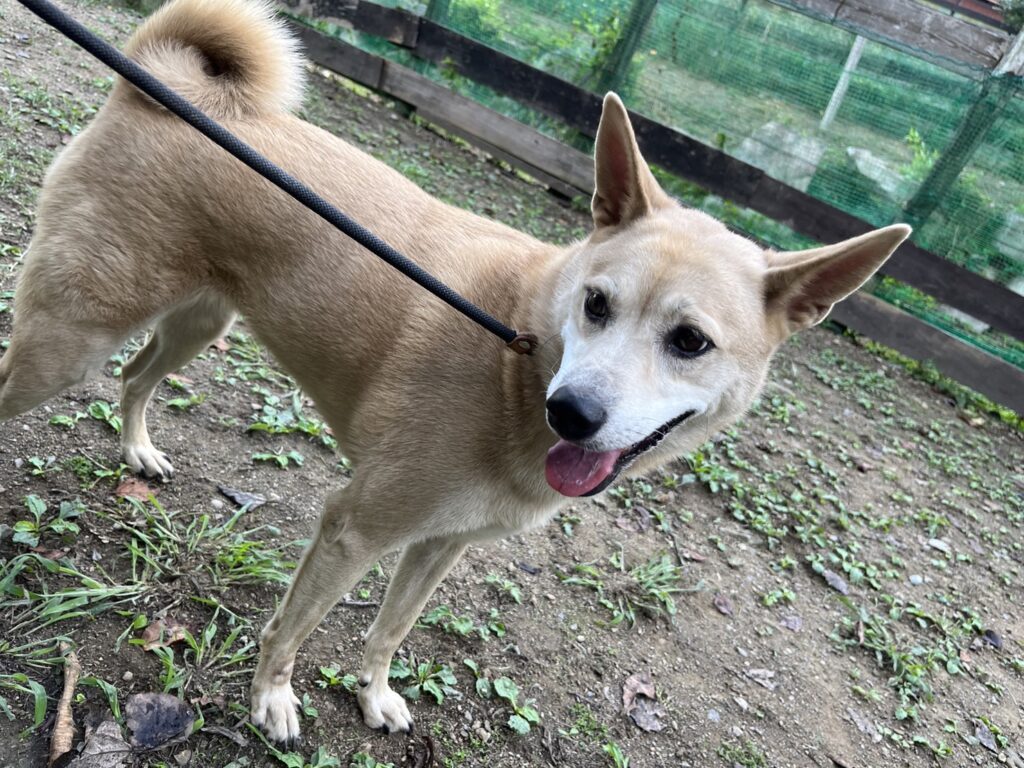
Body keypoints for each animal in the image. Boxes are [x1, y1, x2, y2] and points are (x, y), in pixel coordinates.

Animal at [0, 0, 910, 743]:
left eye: (689, 341)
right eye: (597, 304)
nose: (573, 414)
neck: (519, 359)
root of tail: (166, 86)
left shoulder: (441, 545)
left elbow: (390, 630)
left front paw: (372, 697)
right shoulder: (354, 527)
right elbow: (290, 629)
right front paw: (273, 700)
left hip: (198, 320)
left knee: (135, 379)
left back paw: (137, 450)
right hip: (69, 340)